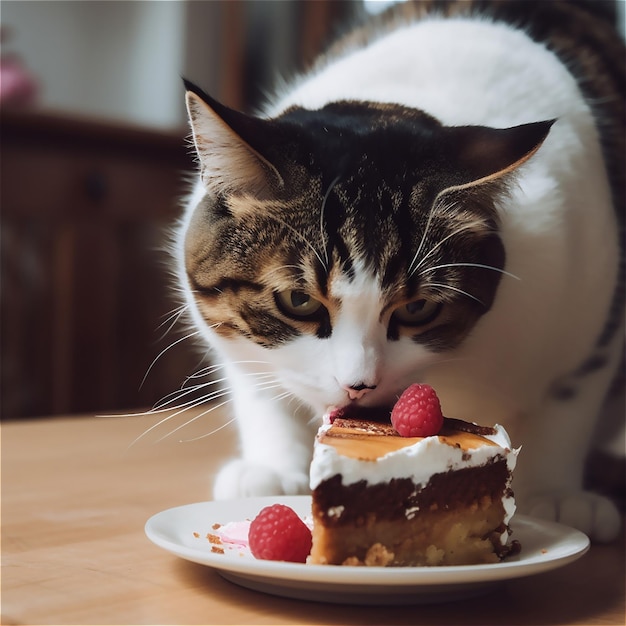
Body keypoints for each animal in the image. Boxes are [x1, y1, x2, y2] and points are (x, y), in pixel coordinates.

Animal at [173, 0, 620, 540]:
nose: (358, 385)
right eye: (297, 301)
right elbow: (257, 383)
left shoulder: (592, 292)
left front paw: (557, 494)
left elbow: (569, 400)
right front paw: (272, 468)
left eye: (418, 307)